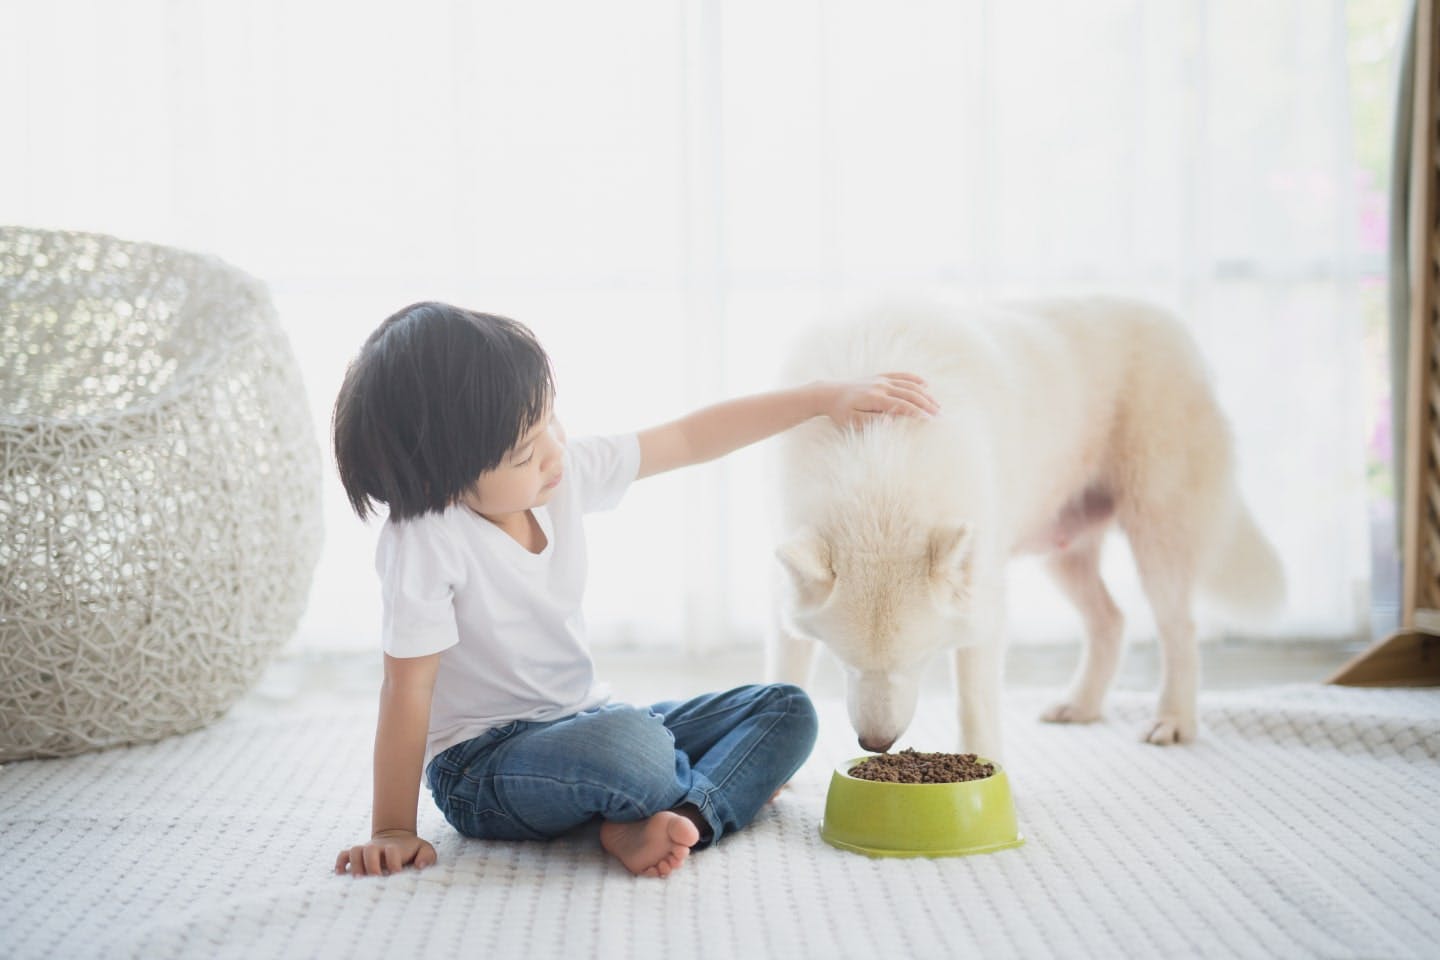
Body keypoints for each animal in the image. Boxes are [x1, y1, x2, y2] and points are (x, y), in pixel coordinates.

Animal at [771, 296, 1290, 759]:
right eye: (843, 661)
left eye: (920, 659)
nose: (875, 745)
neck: (881, 460)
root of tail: (1176, 327)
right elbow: (785, 671)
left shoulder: (983, 604)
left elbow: (974, 703)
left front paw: (983, 767)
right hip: (1062, 555)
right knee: (1111, 620)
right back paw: (1081, 705)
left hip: (1156, 539)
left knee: (1179, 628)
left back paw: (1174, 719)